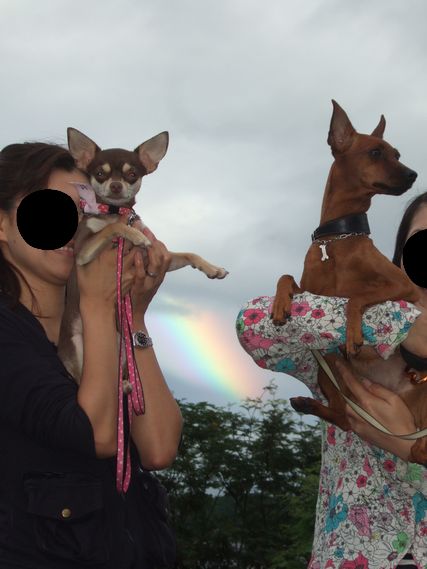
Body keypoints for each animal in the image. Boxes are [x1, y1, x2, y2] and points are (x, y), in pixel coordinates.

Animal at [57, 128, 228, 383]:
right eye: (99, 174)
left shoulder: (157, 256)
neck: (115, 211)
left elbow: (189, 254)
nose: (115, 186)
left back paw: (128, 386)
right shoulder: (82, 252)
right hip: (78, 350)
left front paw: (212, 268)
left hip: (124, 347)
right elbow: (112, 227)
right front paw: (134, 234)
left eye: (132, 174)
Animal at [270, 101, 427, 464]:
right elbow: (286, 277)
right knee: (343, 418)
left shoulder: (404, 286)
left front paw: (354, 331)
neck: (339, 237)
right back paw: (307, 404)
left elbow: (357, 296)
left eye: (397, 153)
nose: (413, 174)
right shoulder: (311, 290)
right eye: (375, 152)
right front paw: (280, 304)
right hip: (327, 369)